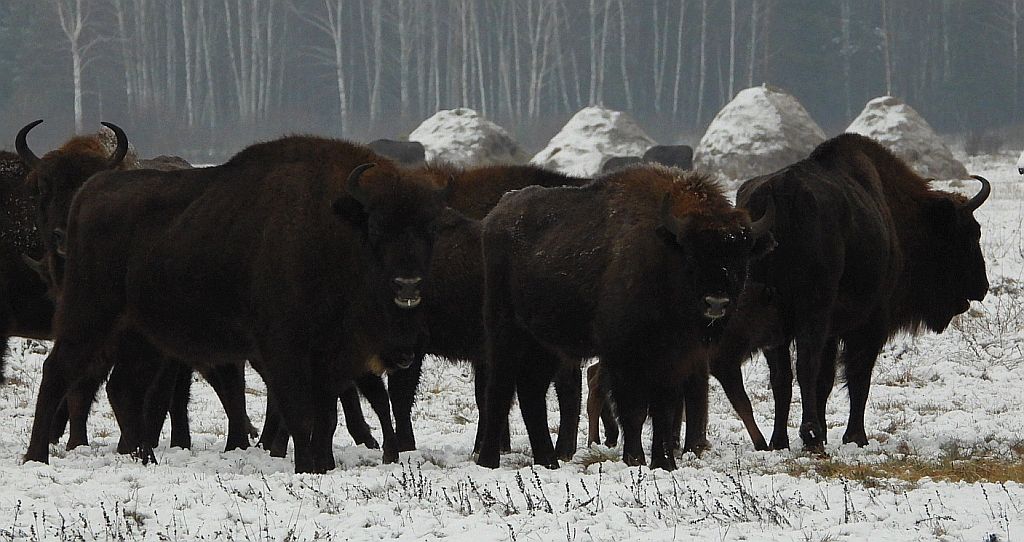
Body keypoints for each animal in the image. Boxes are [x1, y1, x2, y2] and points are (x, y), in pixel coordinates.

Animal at [24, 135, 453, 473]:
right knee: (58, 370)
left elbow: (325, 417)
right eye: (377, 227)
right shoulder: (284, 349)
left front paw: (322, 465)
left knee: (124, 388)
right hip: (89, 315)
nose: (408, 284)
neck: (333, 228)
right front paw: (307, 468)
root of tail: (89, 193)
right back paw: (36, 457)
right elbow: (302, 414)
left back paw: (145, 459)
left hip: (142, 337)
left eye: (431, 229)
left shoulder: (330, 357)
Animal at [477, 165, 774, 470]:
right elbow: (634, 411)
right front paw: (635, 459)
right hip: (504, 330)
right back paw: (489, 460)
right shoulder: (625, 357)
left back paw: (548, 460)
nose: (716, 303)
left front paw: (664, 462)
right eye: (692, 255)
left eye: (740, 258)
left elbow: (664, 410)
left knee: (531, 391)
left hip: (545, 344)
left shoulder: (674, 360)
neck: (664, 255)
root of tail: (496, 214)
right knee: (500, 388)